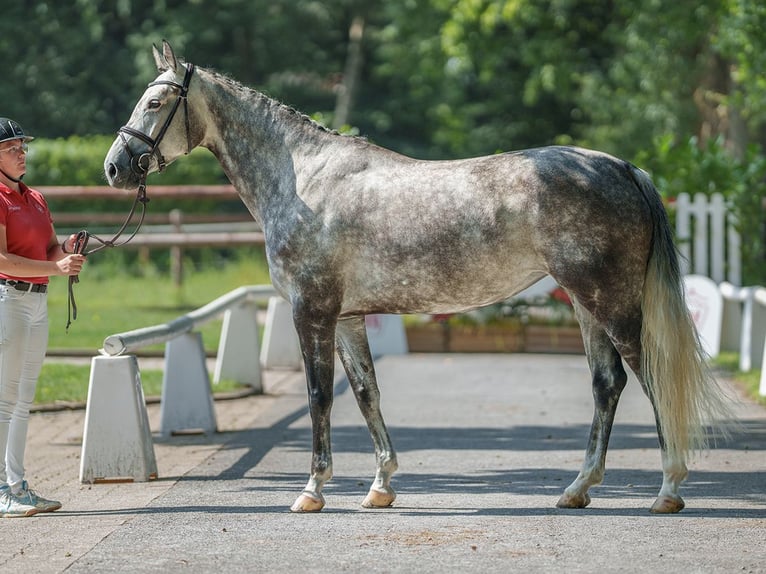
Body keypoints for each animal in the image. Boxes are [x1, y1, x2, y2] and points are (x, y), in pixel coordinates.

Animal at [103, 42, 732, 516]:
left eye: (156, 101)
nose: (114, 166)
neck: (303, 177)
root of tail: (620, 166)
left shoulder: (312, 310)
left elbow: (317, 396)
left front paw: (311, 491)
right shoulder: (348, 316)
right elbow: (366, 394)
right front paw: (381, 486)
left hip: (611, 301)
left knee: (648, 376)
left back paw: (668, 490)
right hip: (584, 301)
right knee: (607, 385)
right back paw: (576, 490)